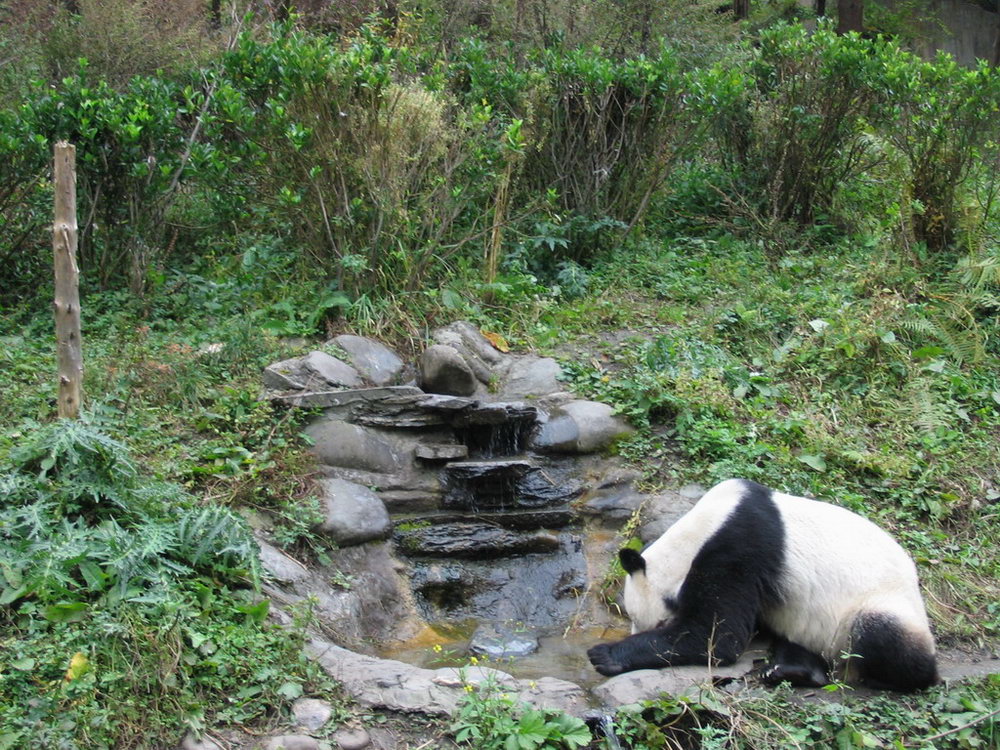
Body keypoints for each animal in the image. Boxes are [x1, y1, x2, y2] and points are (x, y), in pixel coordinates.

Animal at [587, 478, 939, 691]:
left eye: (658, 622)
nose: (636, 633)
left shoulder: (740, 550)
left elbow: (716, 637)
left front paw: (605, 655)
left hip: (881, 605)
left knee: (881, 634)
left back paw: (895, 678)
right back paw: (791, 669)